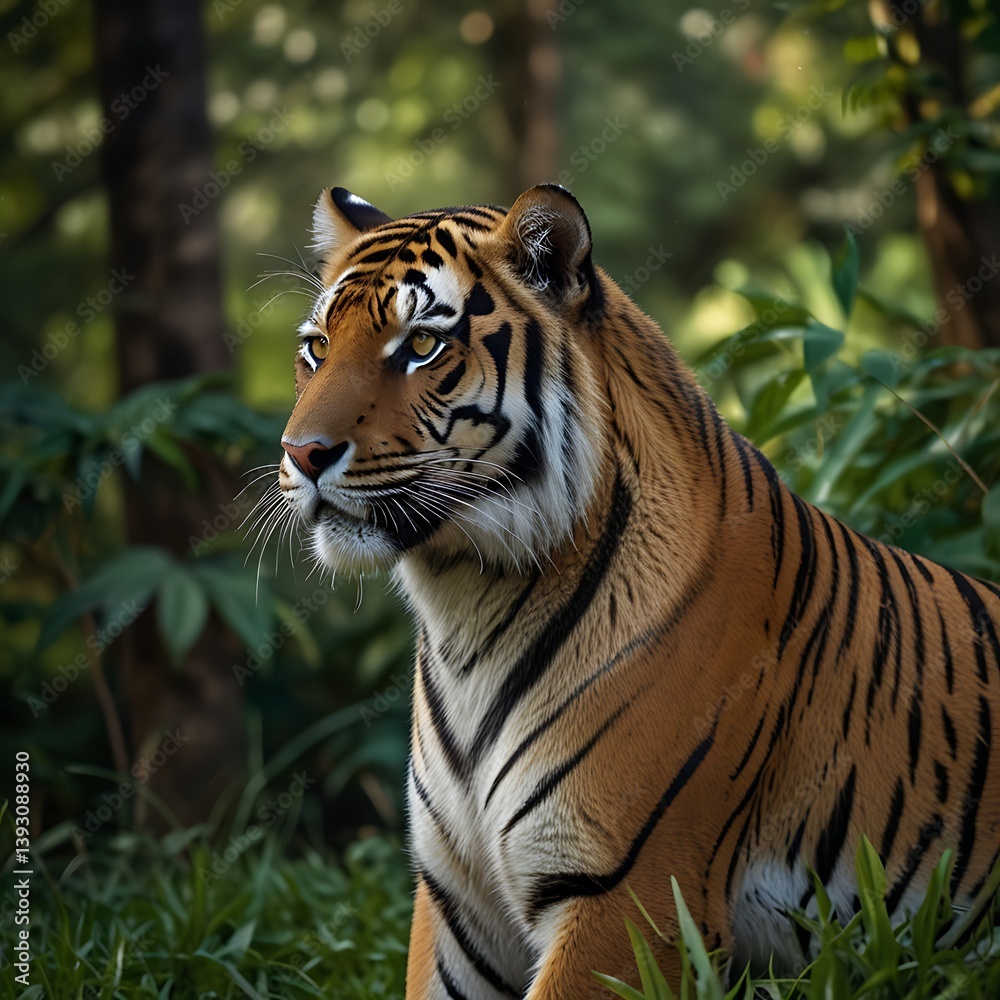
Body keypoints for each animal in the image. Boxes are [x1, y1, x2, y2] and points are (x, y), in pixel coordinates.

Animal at [276, 183, 1000, 998]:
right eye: (317, 348)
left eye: (422, 346)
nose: (299, 454)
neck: (464, 600)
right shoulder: (456, 902)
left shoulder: (628, 895)